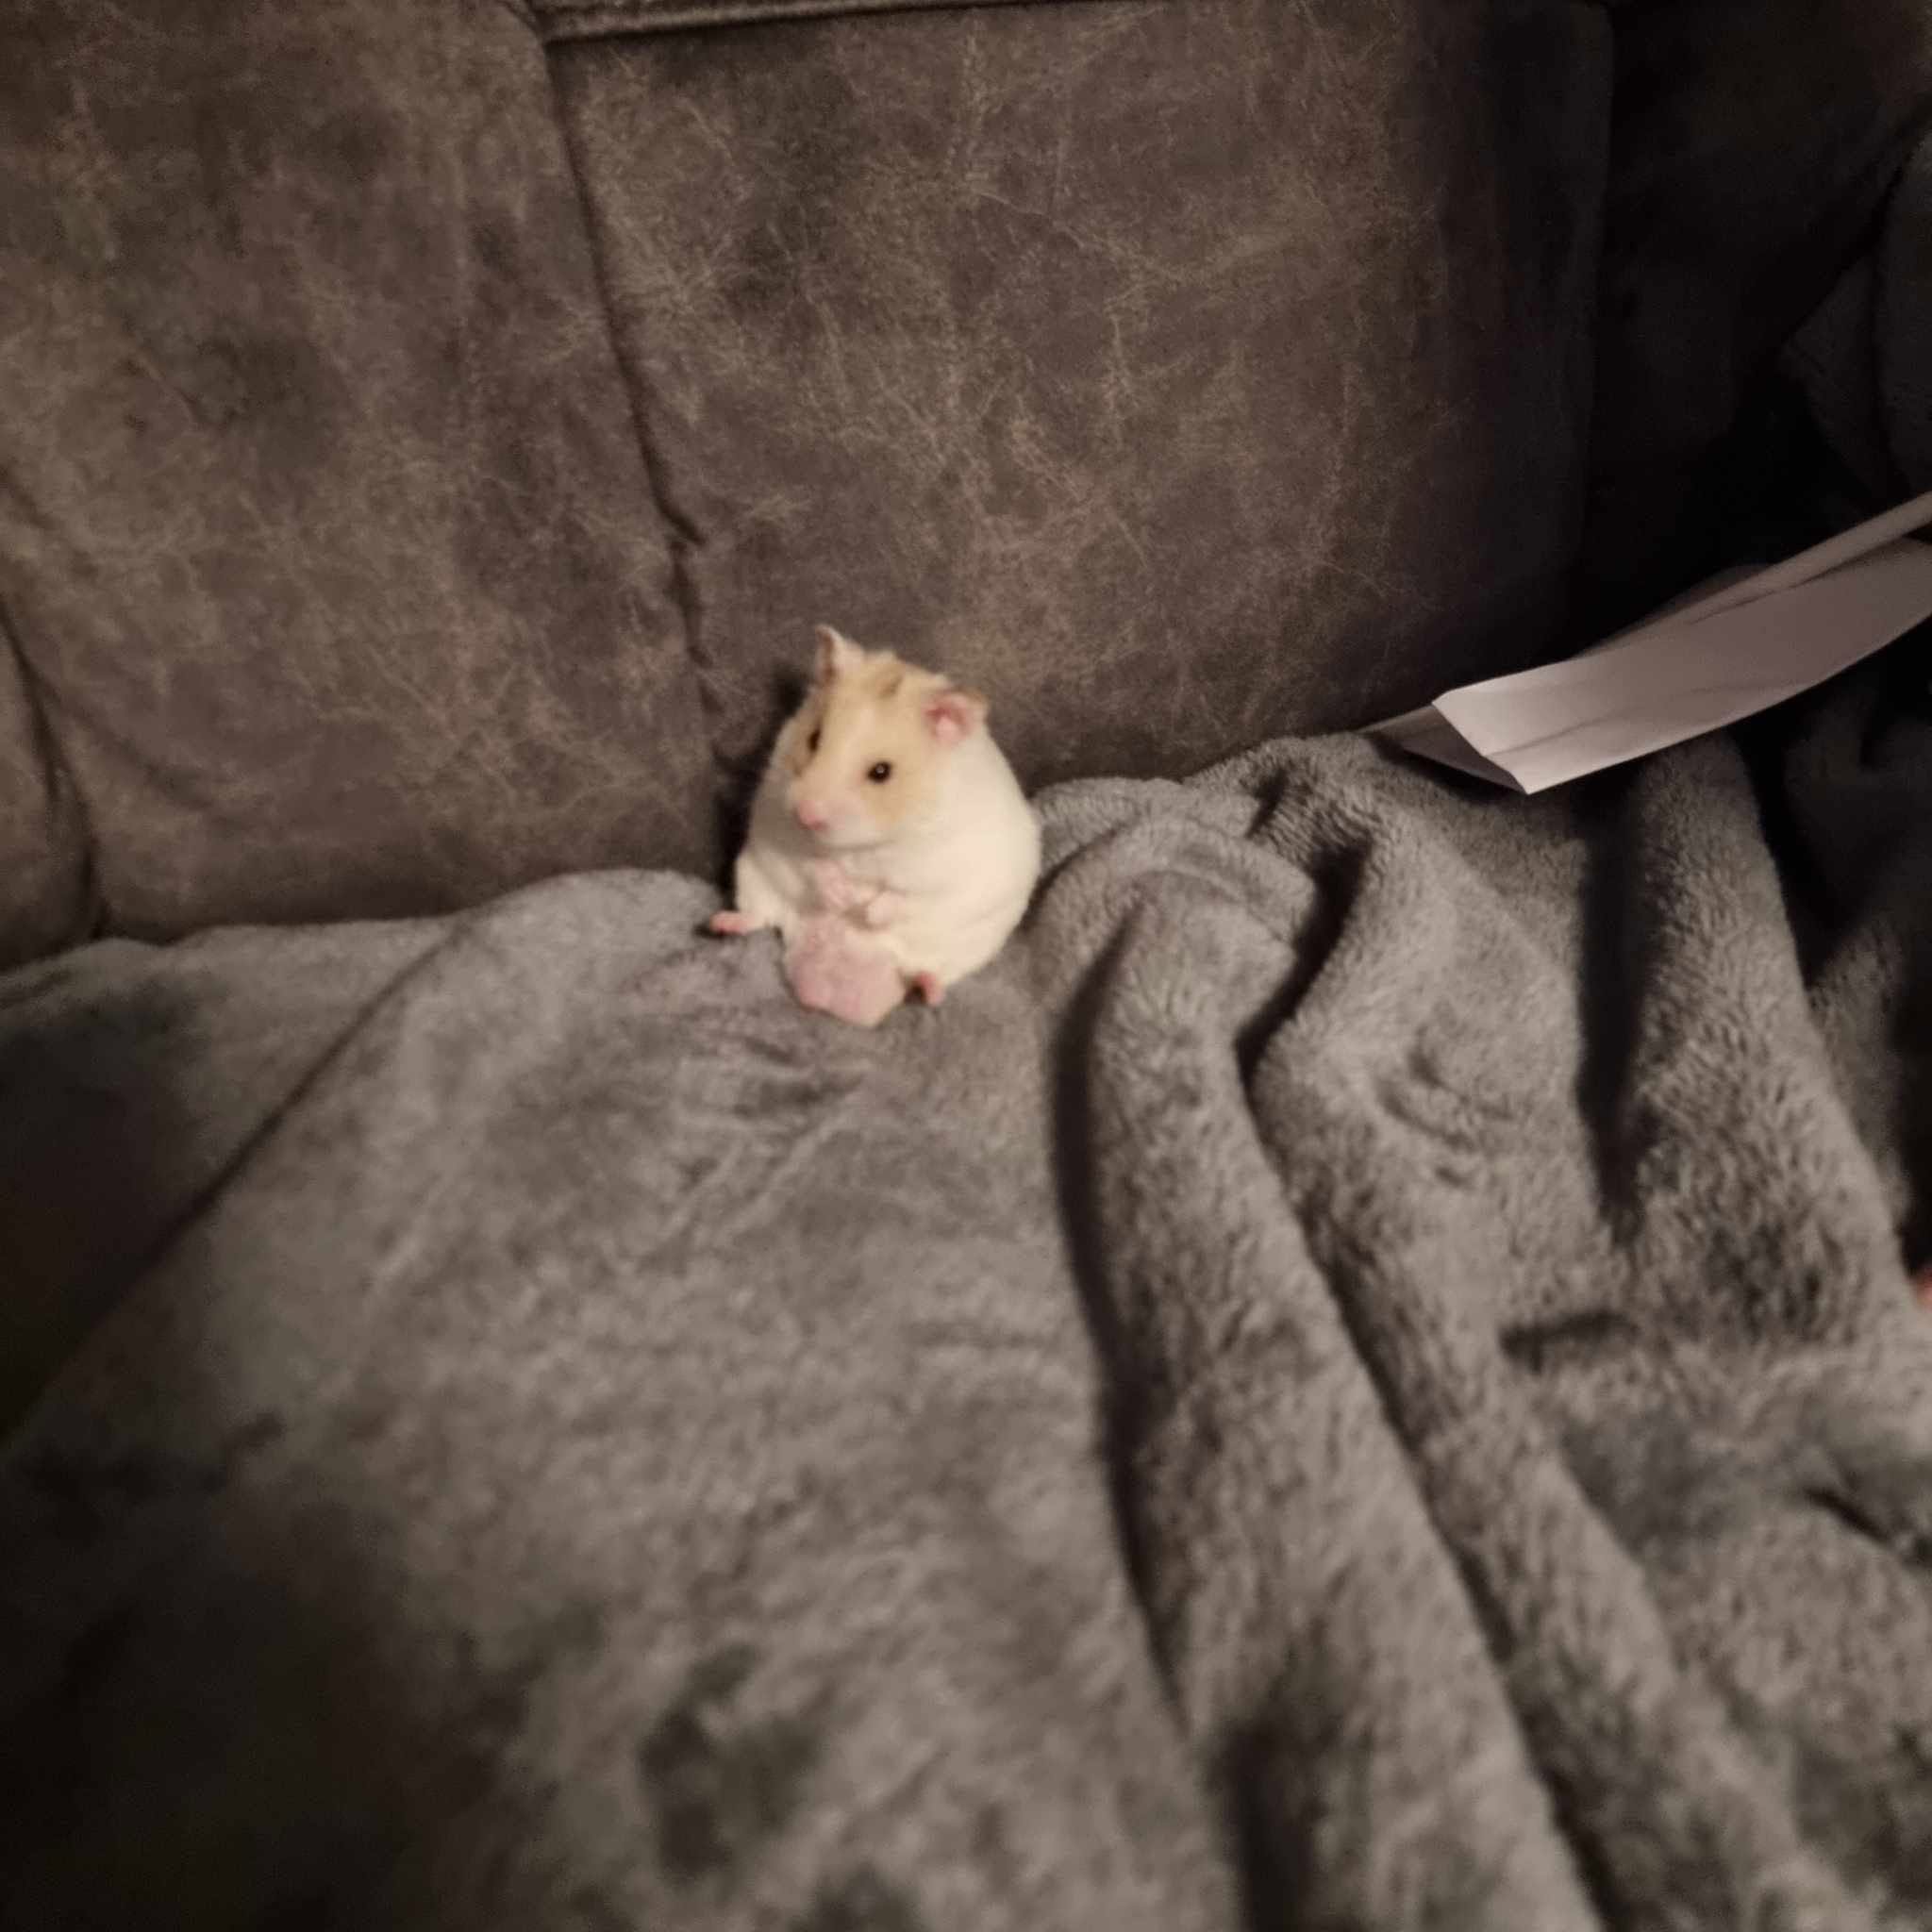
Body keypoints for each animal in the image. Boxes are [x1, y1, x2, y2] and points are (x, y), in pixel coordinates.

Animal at [708, 624, 1042, 1026]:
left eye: (881, 772)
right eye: (814, 739)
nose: (805, 815)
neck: (865, 844)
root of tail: (829, 992)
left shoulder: (946, 867)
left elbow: (905, 895)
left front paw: (865, 911)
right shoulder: (779, 826)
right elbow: (813, 865)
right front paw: (842, 897)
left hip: (969, 946)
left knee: (926, 971)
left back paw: (930, 991)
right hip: (754, 878)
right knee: (760, 916)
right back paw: (722, 923)